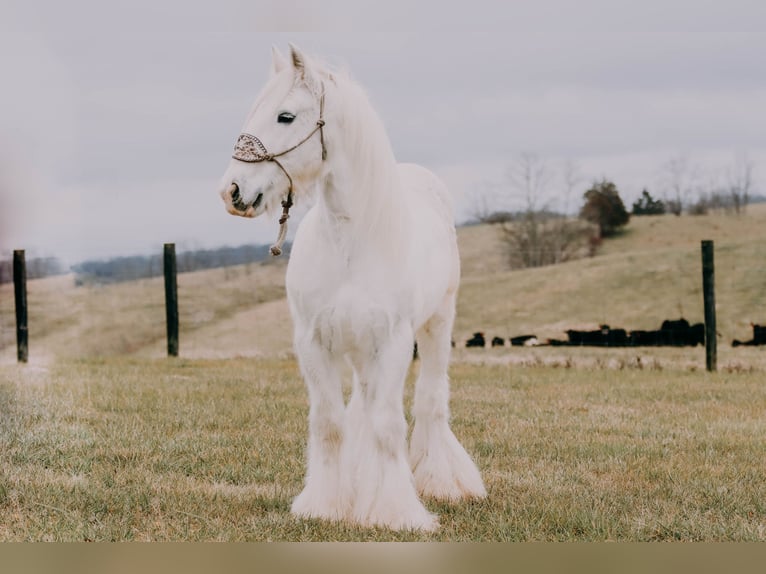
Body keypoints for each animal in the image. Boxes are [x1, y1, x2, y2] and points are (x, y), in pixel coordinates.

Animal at [219, 46, 488, 536]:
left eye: (285, 116)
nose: (232, 191)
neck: (351, 241)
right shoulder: (313, 343)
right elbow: (330, 424)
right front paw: (326, 505)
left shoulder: (395, 342)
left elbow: (387, 425)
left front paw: (395, 512)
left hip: (437, 326)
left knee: (431, 401)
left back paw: (443, 482)